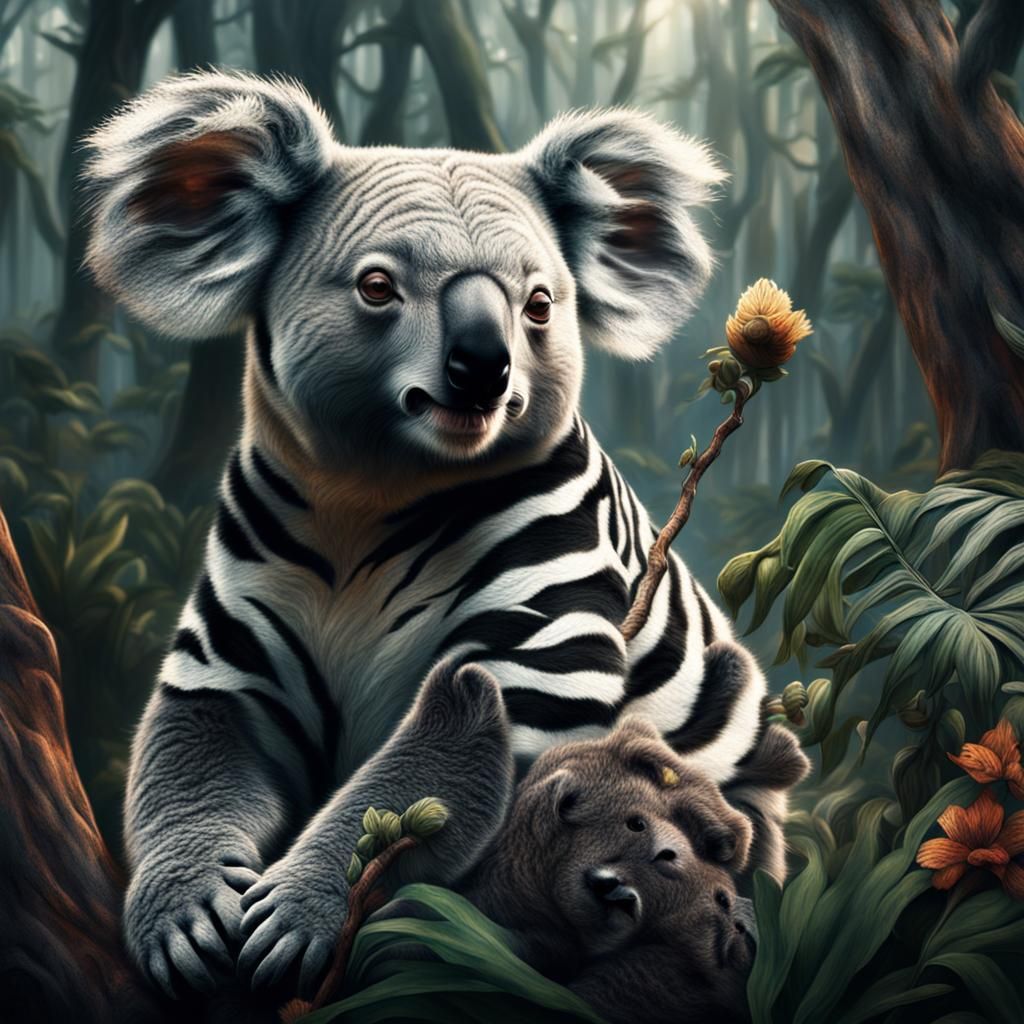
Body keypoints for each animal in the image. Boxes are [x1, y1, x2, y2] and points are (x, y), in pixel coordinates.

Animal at [84, 71, 807, 999]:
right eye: (378, 287)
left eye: (539, 302)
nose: (483, 367)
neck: (369, 495)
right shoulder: (241, 627)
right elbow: (201, 748)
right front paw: (184, 919)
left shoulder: (539, 623)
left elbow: (437, 766)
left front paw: (296, 917)